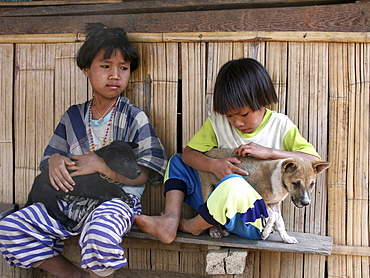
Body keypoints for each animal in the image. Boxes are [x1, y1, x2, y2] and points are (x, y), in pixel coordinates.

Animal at [198, 148, 330, 243]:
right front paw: (265, 233)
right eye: (296, 183)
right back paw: (214, 231)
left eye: (312, 184)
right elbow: (272, 216)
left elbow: (279, 221)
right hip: (206, 187)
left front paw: (286, 238)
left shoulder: (275, 203)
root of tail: (208, 152)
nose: (306, 203)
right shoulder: (259, 198)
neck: (279, 179)